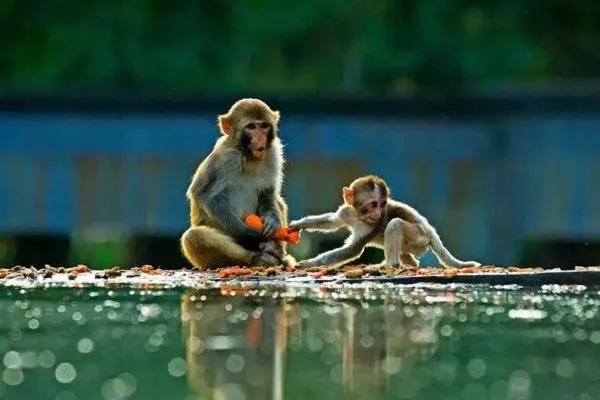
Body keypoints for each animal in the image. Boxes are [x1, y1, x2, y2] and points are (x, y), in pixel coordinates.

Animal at [183, 97, 296, 268]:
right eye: (251, 127)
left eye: (264, 126)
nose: (260, 138)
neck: (248, 155)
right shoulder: (229, 157)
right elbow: (205, 196)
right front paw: (249, 232)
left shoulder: (273, 154)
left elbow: (268, 193)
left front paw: (273, 220)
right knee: (194, 236)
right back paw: (257, 258)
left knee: (278, 201)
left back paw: (276, 251)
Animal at [288, 175, 480, 268]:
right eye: (373, 204)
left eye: (382, 205)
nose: (378, 212)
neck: (360, 216)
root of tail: (431, 231)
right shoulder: (347, 212)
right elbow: (331, 221)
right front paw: (299, 224)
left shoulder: (372, 226)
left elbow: (352, 250)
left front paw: (311, 263)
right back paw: (410, 263)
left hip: (420, 237)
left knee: (395, 224)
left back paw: (390, 264)